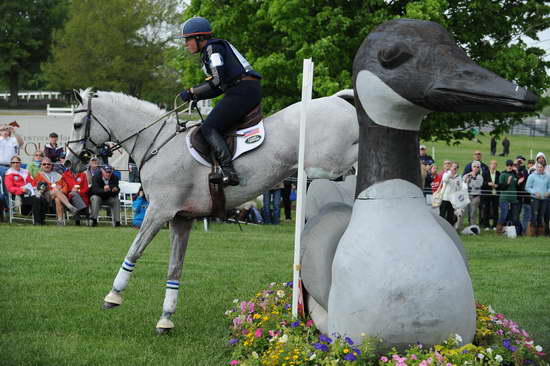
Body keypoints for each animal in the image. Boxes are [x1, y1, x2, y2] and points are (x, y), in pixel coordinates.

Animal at [67, 88, 360, 332]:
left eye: (77, 124)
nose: (70, 161)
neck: (157, 146)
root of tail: (338, 100)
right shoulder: (181, 219)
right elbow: (174, 268)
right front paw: (166, 318)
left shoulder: (159, 212)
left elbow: (134, 251)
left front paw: (113, 296)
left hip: (330, 163)